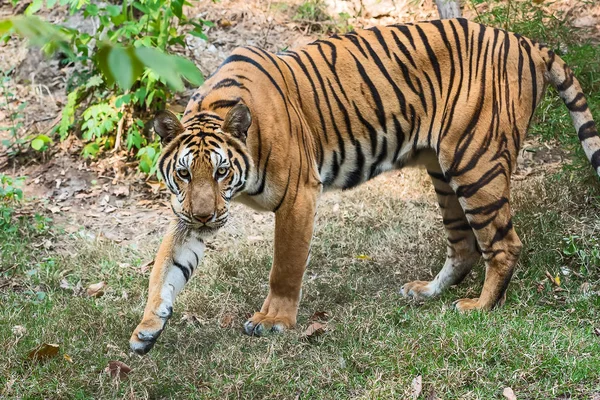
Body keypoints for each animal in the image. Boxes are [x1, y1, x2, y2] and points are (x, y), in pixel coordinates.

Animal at [129, 17, 600, 354]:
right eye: (185, 174)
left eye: (222, 172)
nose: (205, 215)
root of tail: (524, 42)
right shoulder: (186, 213)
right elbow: (164, 267)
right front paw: (147, 329)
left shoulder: (299, 195)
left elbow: (285, 267)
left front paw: (274, 321)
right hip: (444, 172)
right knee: (464, 244)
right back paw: (426, 292)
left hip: (475, 162)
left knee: (504, 244)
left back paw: (479, 308)